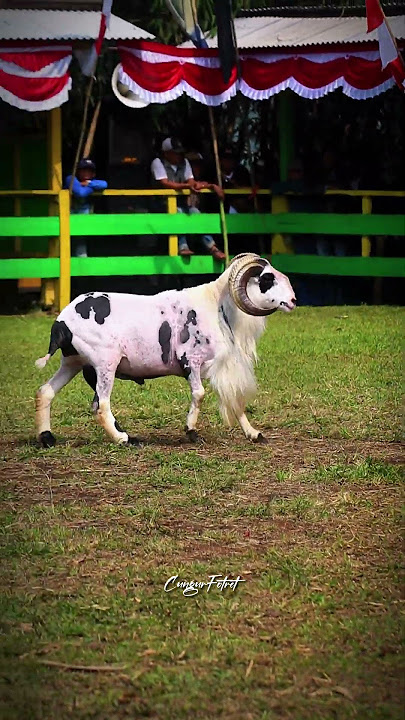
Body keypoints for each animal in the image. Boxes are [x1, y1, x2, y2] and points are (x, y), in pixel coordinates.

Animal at [35, 254, 296, 447]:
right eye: (266, 279)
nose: (293, 300)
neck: (217, 306)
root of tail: (62, 321)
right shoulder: (191, 361)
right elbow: (199, 394)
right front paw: (191, 432)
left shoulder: (219, 367)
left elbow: (234, 400)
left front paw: (254, 434)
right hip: (104, 364)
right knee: (101, 405)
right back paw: (124, 439)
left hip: (73, 362)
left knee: (45, 391)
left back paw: (47, 438)